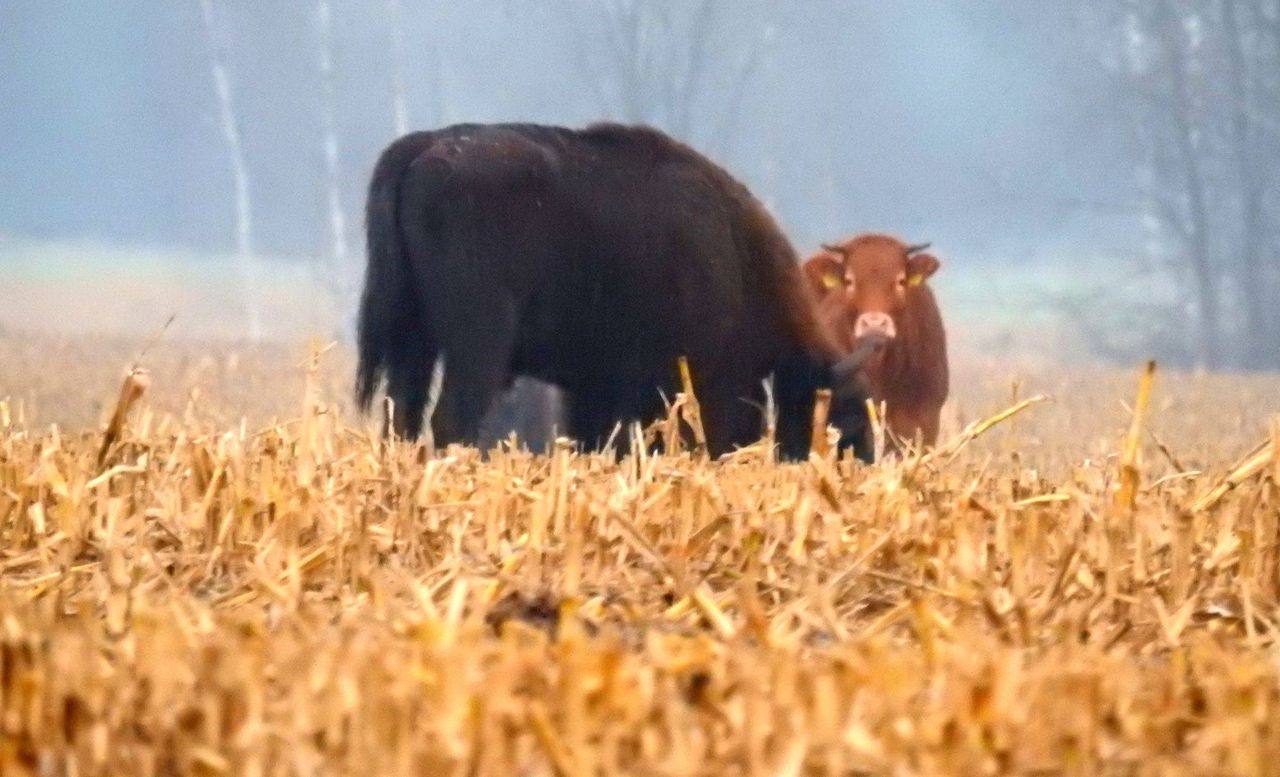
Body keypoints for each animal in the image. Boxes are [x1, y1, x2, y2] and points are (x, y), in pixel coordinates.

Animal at [355, 122, 875, 460]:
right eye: (842, 416)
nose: (864, 458)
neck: (736, 257)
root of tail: (423, 148)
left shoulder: (595, 387)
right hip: (476, 345)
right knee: (451, 419)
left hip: (412, 342)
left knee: (401, 415)